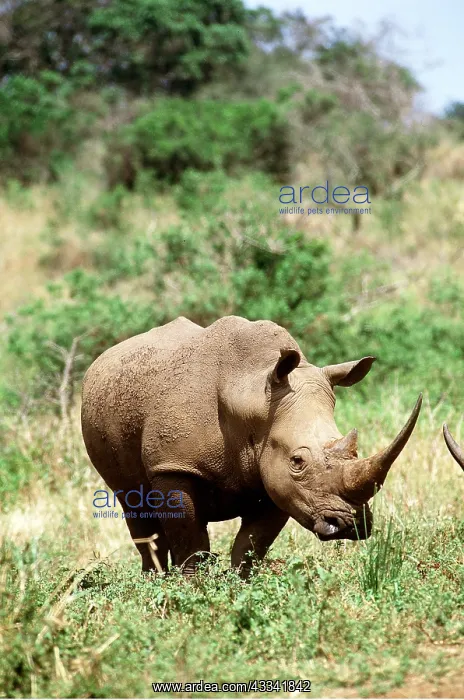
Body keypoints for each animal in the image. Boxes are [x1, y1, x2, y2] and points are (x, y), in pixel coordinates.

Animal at [81, 315, 422, 577]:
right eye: (297, 461)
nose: (350, 525)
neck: (252, 396)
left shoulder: (275, 478)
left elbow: (250, 546)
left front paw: (238, 587)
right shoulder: (174, 466)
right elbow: (191, 543)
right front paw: (190, 591)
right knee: (134, 506)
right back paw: (152, 582)